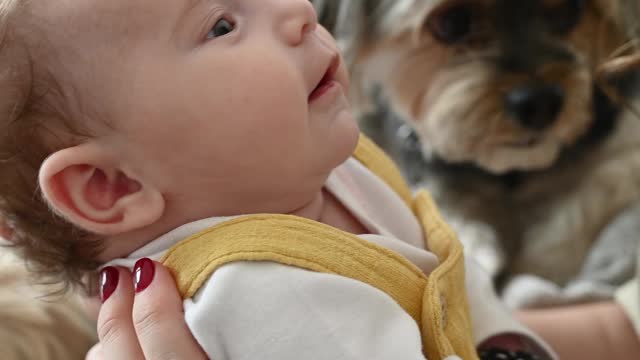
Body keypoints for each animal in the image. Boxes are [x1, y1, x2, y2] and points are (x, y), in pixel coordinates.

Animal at [318, 0, 640, 308]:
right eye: (452, 21)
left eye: (571, 9)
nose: (540, 104)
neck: (508, 174)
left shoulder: (615, 160)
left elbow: (575, 214)